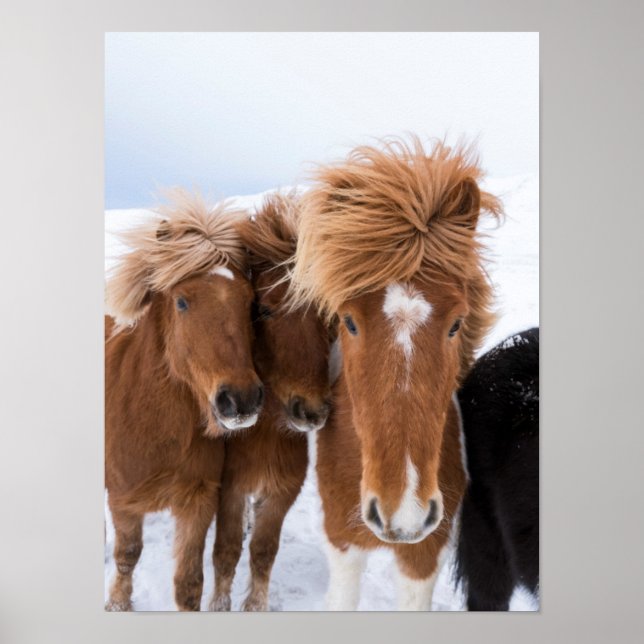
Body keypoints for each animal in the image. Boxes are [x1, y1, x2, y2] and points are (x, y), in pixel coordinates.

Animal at [104, 191, 264, 611]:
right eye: (181, 302)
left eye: (250, 302)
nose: (240, 399)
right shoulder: (123, 501)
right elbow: (127, 556)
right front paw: (118, 603)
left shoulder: (199, 500)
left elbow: (189, 584)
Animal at [211, 193, 332, 611]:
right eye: (262, 309)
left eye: (326, 315)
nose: (311, 411)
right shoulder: (229, 488)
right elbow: (227, 550)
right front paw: (219, 605)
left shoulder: (282, 491)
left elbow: (263, 550)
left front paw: (255, 605)